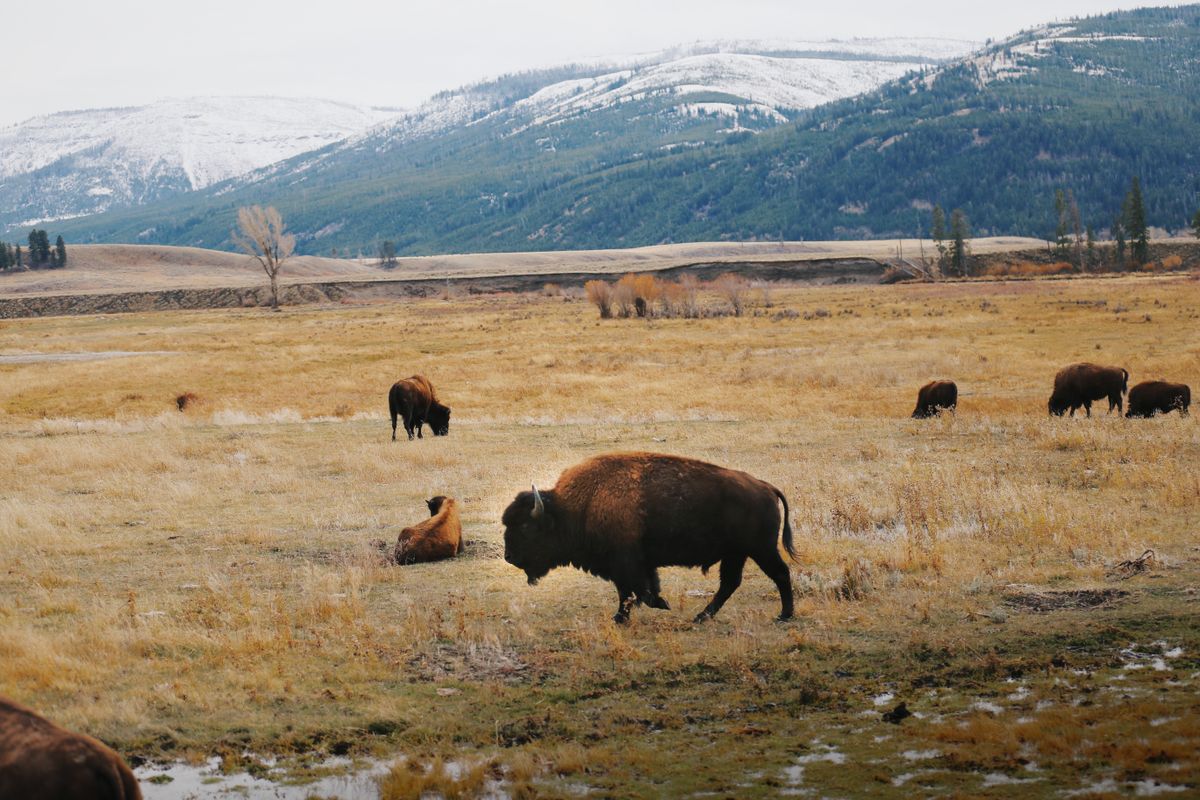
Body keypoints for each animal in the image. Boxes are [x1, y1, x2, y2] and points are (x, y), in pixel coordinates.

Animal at [501, 452, 795, 624]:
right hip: (737, 554)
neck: (579, 505)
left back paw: (784, 616)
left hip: (760, 549)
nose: (509, 557)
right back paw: (701, 616)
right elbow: (638, 589)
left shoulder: (624, 562)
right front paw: (631, 614)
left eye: (526, 527)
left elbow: (632, 591)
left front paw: (642, 611)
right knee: (730, 583)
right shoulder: (637, 564)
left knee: (779, 573)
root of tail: (766, 487)